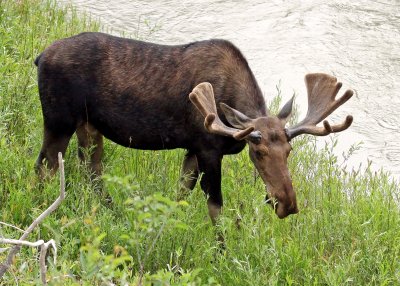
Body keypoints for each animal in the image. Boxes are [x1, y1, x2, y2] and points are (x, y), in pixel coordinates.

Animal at [34, 32, 354, 222]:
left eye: (289, 150)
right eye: (258, 151)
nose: (287, 204)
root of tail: (39, 57)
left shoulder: (191, 149)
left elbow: (180, 194)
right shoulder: (208, 148)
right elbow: (215, 205)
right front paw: (221, 253)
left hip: (88, 125)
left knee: (91, 169)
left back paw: (112, 211)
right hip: (59, 120)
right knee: (46, 165)